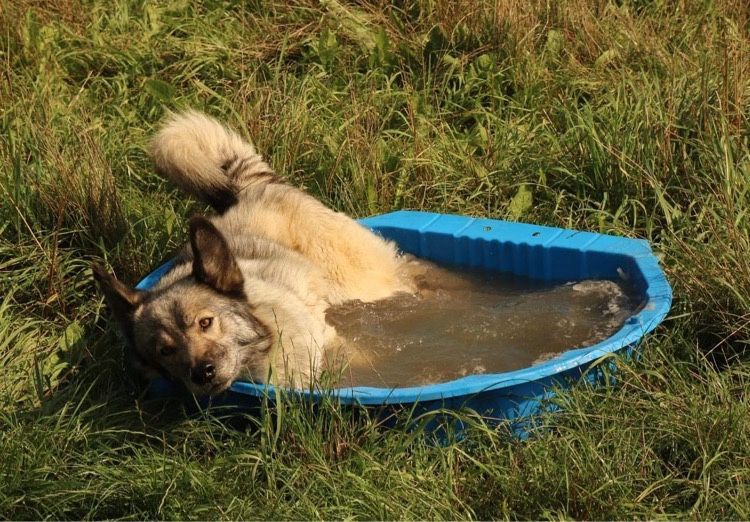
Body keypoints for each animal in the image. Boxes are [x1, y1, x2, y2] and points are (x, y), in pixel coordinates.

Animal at [92, 110, 418, 394]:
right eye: (165, 350)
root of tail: (249, 188)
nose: (203, 372)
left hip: (361, 284)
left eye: (205, 322)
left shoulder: (327, 339)